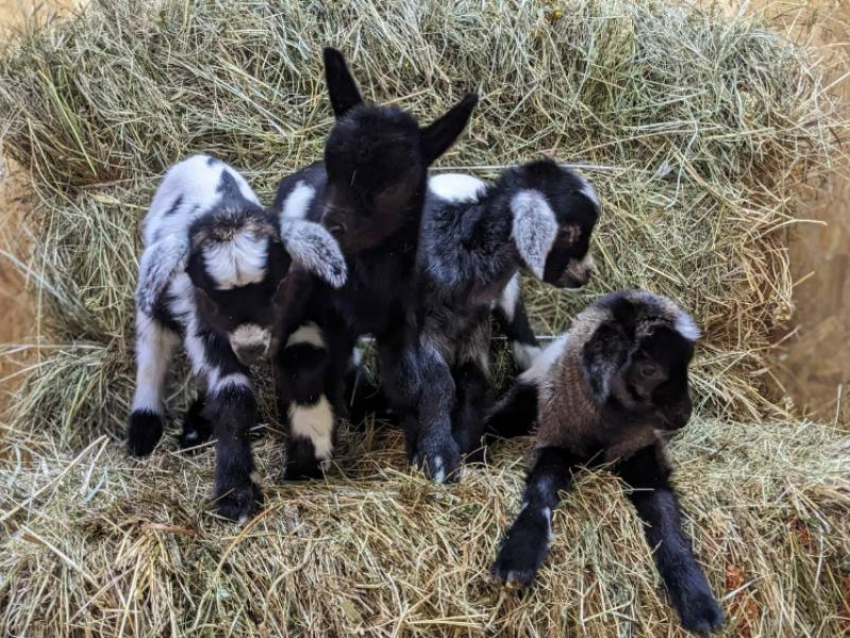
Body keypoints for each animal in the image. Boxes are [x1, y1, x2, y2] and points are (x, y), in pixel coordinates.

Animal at [404, 160, 596, 480]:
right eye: (571, 233)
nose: (587, 275)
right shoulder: (420, 326)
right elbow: (438, 383)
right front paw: (438, 457)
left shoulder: (477, 324)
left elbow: (474, 381)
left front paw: (468, 450)